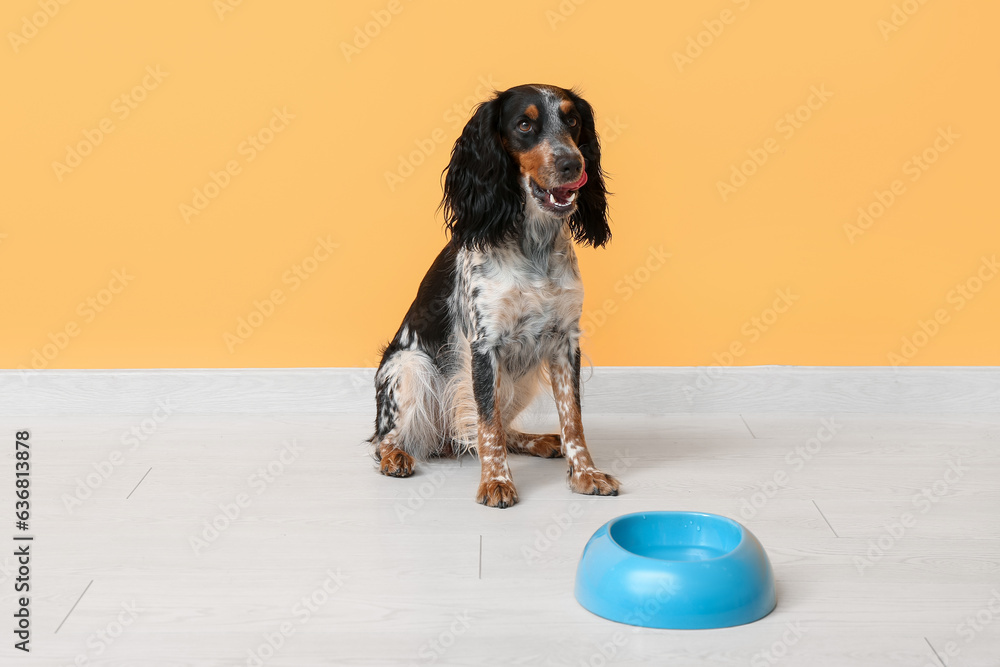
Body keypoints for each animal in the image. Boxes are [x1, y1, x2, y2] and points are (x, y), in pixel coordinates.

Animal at [368, 85, 616, 512]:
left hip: (521, 379)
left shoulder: (565, 342)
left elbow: (573, 420)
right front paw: (496, 481)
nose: (574, 163)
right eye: (524, 124)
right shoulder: (485, 345)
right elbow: (487, 425)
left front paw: (585, 474)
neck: (533, 245)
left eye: (572, 119)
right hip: (410, 367)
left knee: (491, 428)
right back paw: (396, 456)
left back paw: (536, 441)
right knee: (388, 439)